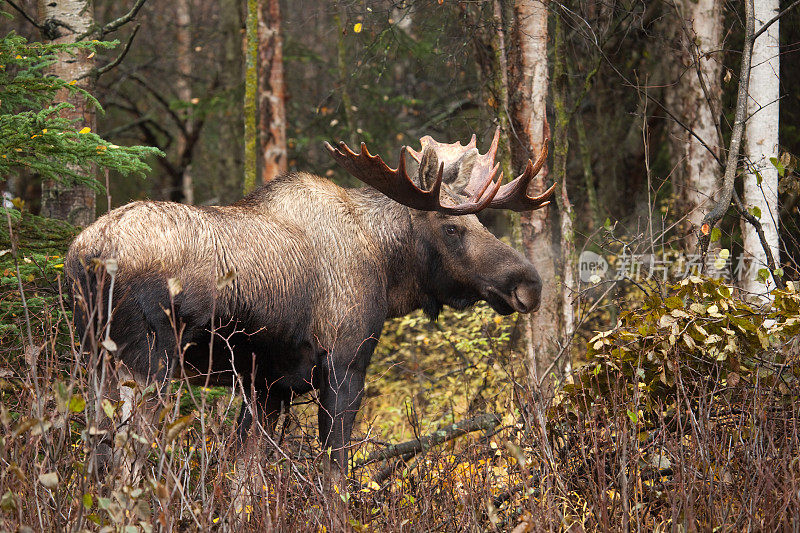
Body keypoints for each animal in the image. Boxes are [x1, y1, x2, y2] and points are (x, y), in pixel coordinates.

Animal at [67, 129, 552, 470]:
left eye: (481, 221)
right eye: (452, 227)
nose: (529, 283)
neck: (386, 268)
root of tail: (84, 257)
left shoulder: (267, 385)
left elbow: (244, 478)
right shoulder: (343, 365)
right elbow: (334, 475)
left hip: (94, 359)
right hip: (148, 364)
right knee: (125, 462)